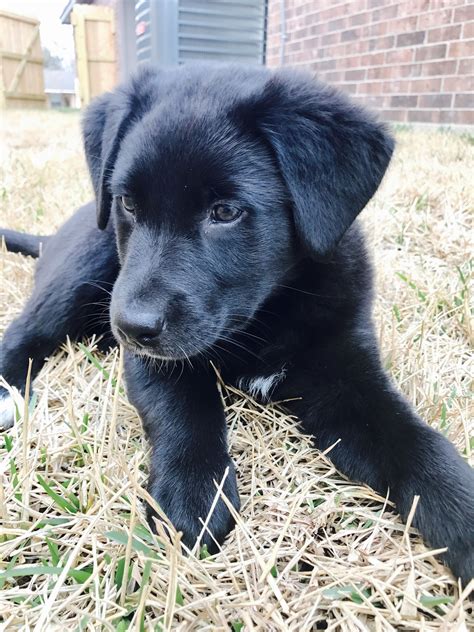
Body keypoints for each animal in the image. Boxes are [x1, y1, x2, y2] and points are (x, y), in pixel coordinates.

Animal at [1, 63, 472, 584]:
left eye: (225, 212)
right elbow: (183, 407)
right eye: (127, 203)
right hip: (86, 264)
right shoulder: (153, 360)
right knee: (24, 335)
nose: (132, 326)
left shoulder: (346, 372)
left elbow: (417, 442)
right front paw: (194, 494)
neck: (262, 319)